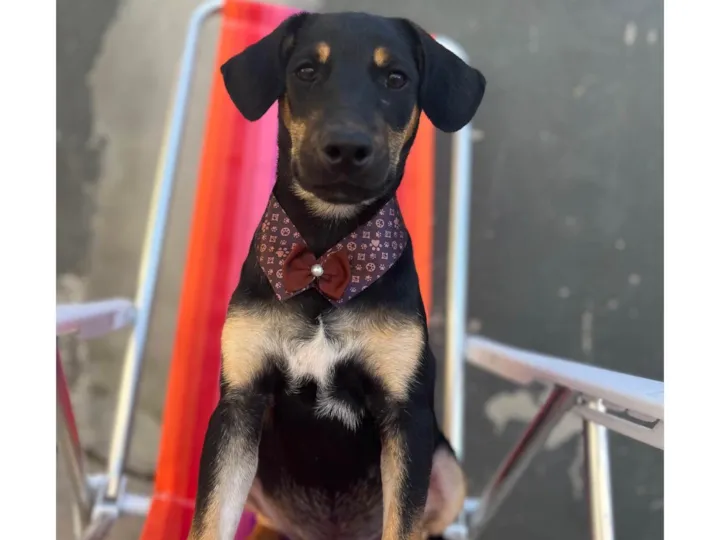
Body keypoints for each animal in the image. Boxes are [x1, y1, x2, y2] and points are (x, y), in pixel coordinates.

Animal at [189, 11, 485, 540]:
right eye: (306, 71)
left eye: (396, 79)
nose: (347, 148)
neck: (324, 253)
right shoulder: (237, 407)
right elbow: (209, 522)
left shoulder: (407, 419)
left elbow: (403, 524)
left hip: (447, 468)